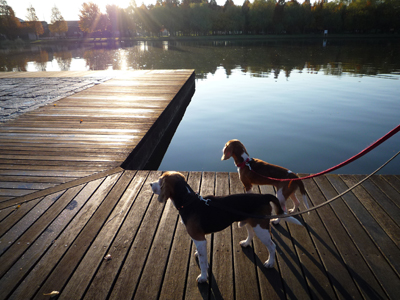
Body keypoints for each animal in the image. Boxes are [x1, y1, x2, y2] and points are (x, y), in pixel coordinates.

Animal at [151, 171, 304, 284]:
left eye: (161, 180)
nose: (150, 184)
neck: (189, 201)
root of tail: (264, 196)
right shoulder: (199, 239)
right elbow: (201, 255)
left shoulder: (199, 239)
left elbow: (202, 261)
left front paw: (203, 277)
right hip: (250, 222)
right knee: (251, 234)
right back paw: (246, 243)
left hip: (261, 228)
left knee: (272, 246)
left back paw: (270, 263)